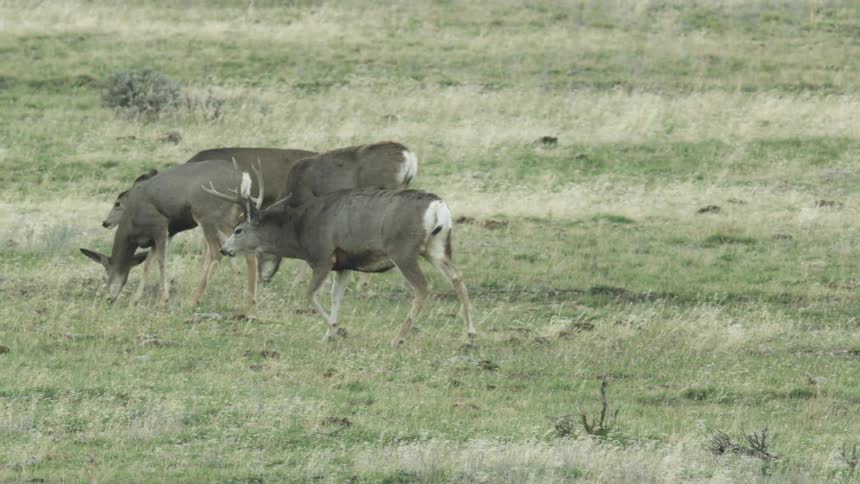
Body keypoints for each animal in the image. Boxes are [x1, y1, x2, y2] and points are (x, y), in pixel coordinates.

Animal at [80, 159, 264, 306]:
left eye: (104, 277)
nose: (108, 298)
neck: (131, 226)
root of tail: (243, 178)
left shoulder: (160, 225)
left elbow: (161, 261)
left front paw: (164, 299)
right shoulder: (163, 235)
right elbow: (147, 264)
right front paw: (135, 300)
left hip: (208, 214)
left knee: (215, 253)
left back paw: (193, 299)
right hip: (230, 217)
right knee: (247, 251)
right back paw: (250, 301)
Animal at [208, 175, 474, 346]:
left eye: (238, 230)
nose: (224, 249)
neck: (300, 233)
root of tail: (438, 207)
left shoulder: (323, 256)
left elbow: (310, 294)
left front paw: (338, 331)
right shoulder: (345, 264)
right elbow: (337, 297)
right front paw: (330, 333)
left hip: (403, 250)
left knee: (423, 287)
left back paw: (398, 337)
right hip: (436, 247)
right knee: (458, 278)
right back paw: (470, 335)